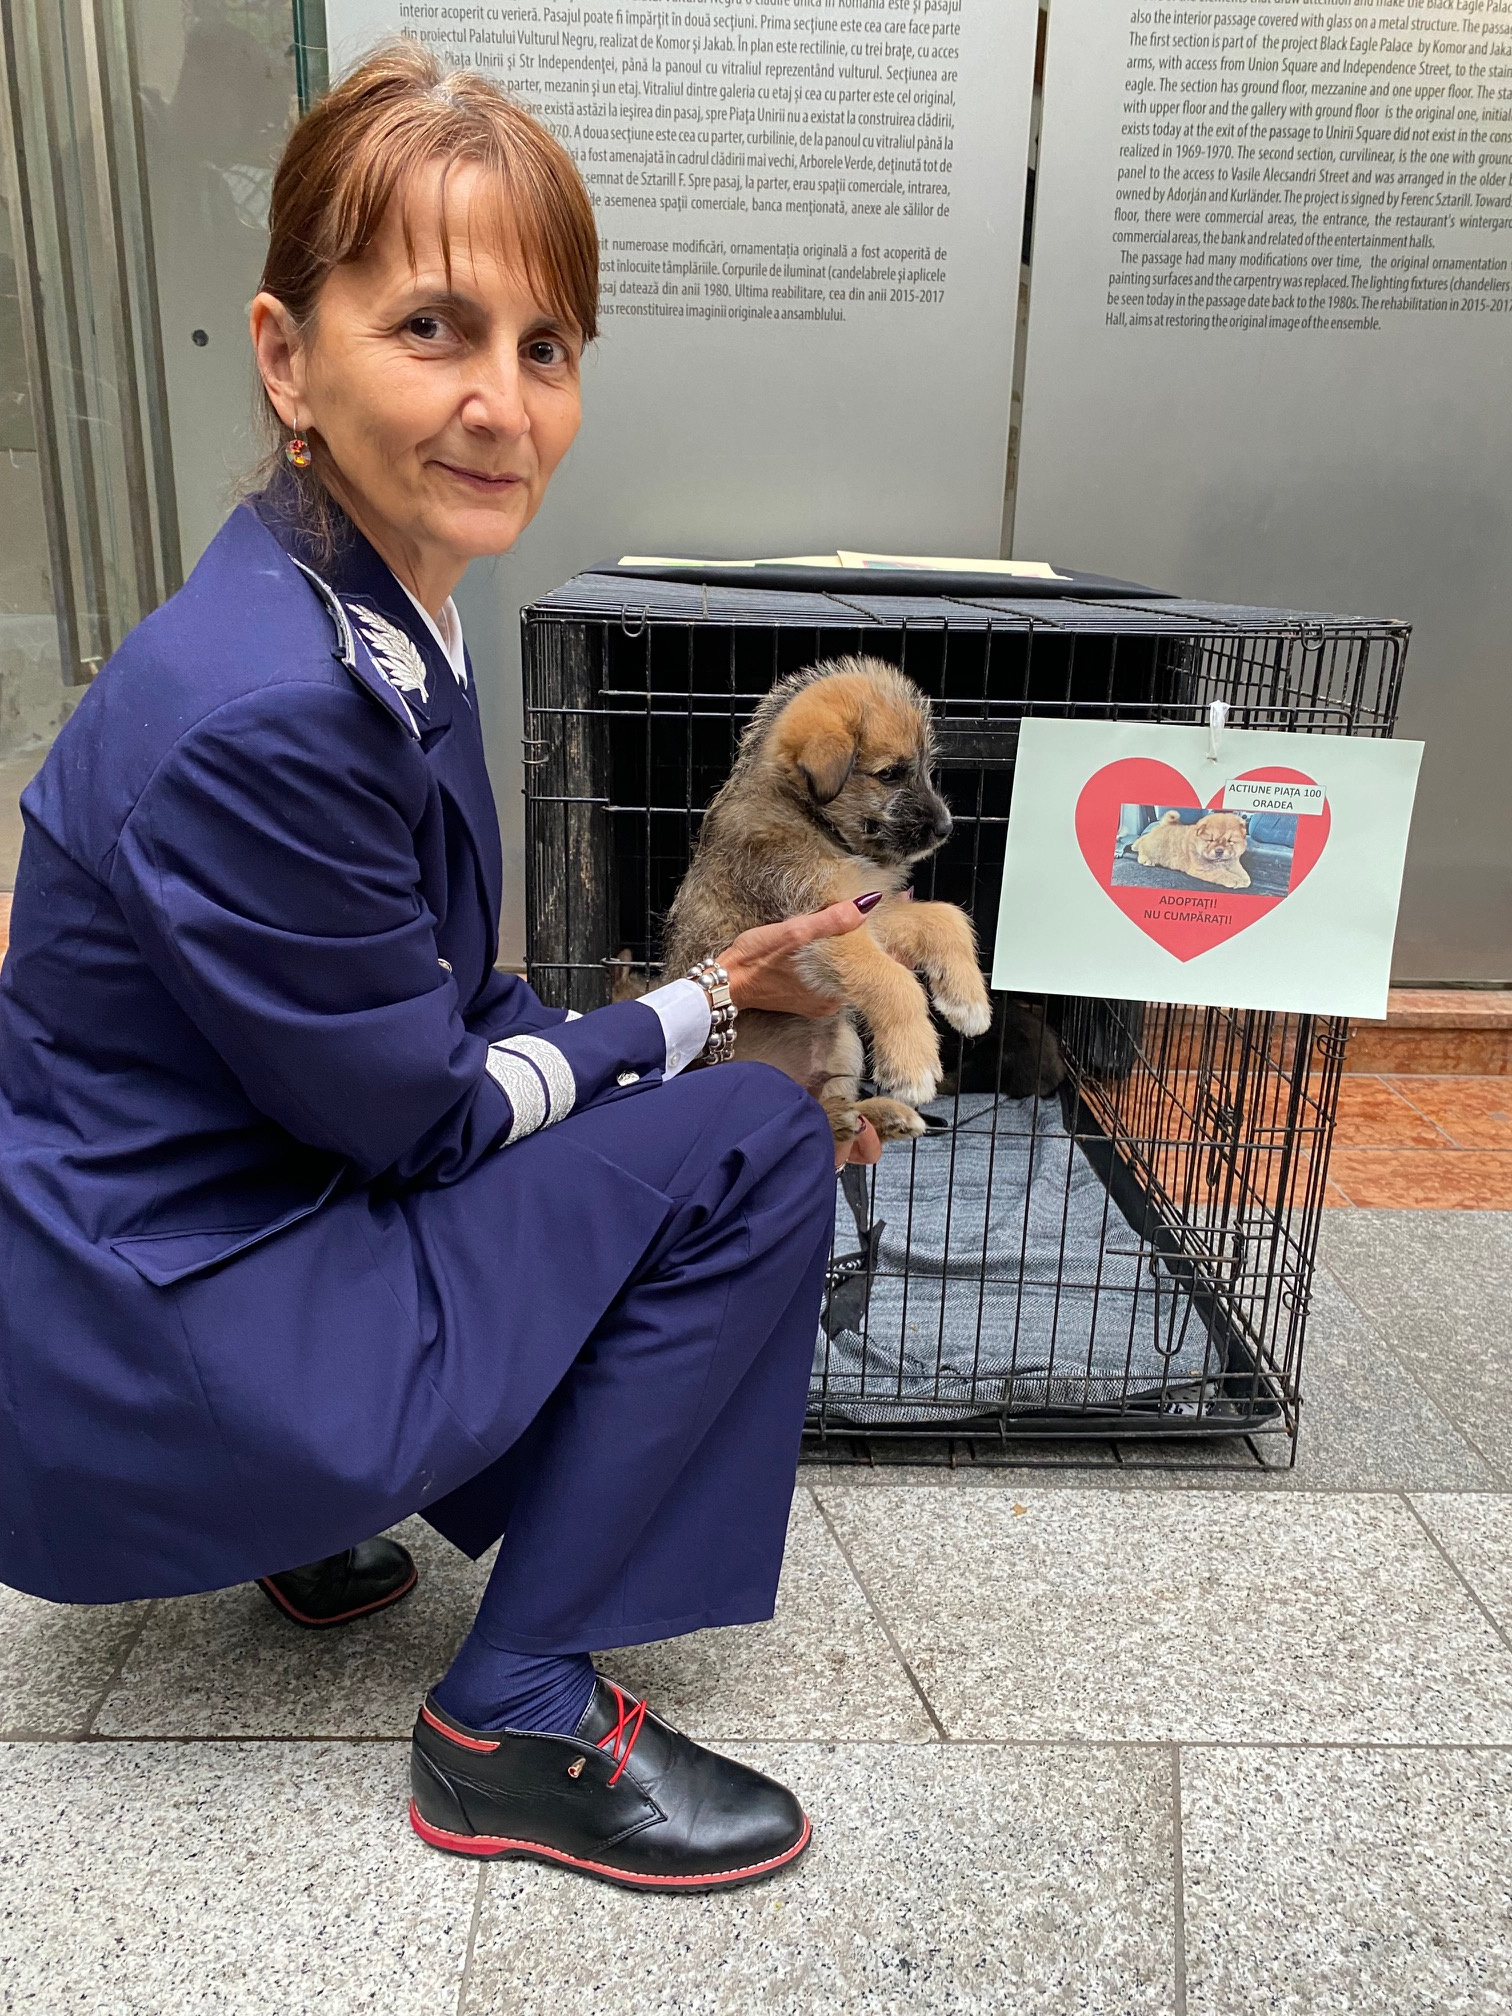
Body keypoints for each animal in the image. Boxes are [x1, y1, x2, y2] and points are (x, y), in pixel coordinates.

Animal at [662, 657, 993, 1145]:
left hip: (841, 1044)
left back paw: (877, 1116)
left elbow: (944, 916)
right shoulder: (820, 927)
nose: (946, 828)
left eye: (924, 768)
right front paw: (913, 1065)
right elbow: (893, 979)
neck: (812, 821)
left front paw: (968, 1002)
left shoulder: (867, 908)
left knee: (828, 1106)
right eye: (890, 774)